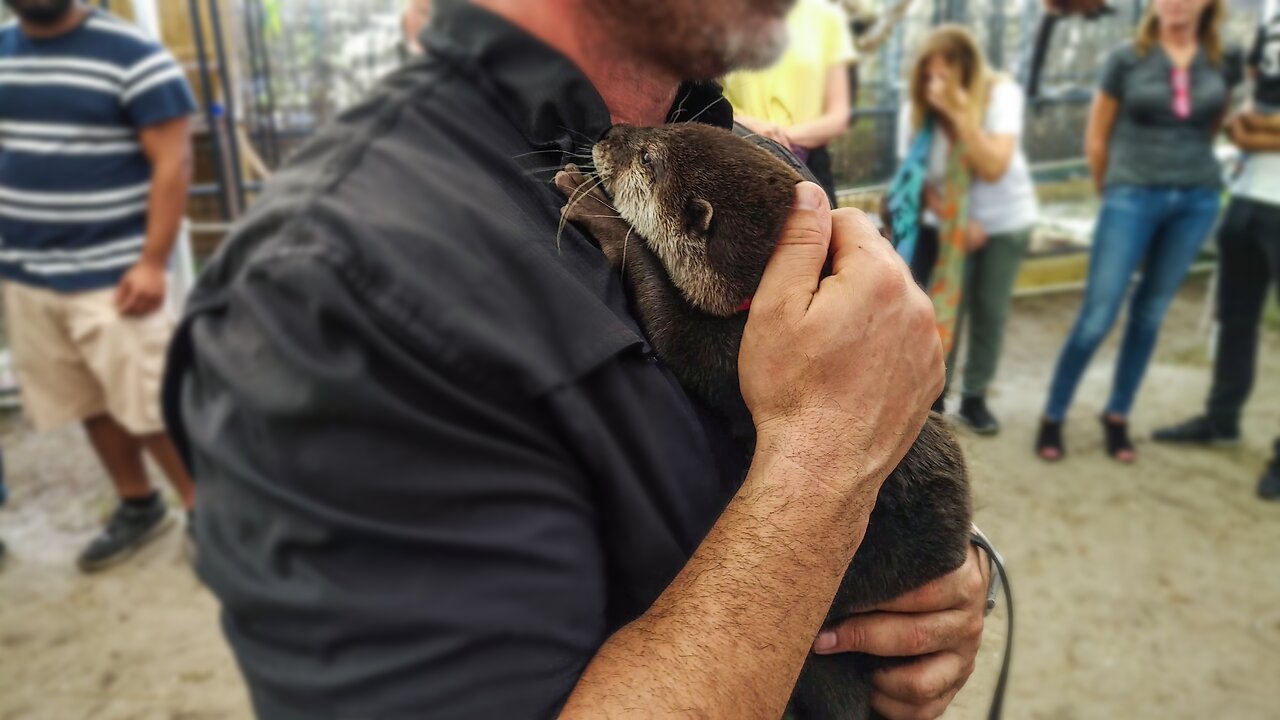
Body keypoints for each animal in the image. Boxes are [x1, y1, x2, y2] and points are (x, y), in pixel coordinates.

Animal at [555, 120, 972, 712]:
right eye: (672, 126)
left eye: (647, 158)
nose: (611, 132)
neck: (753, 296)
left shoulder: (728, 352)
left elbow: (669, 326)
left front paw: (597, 211)